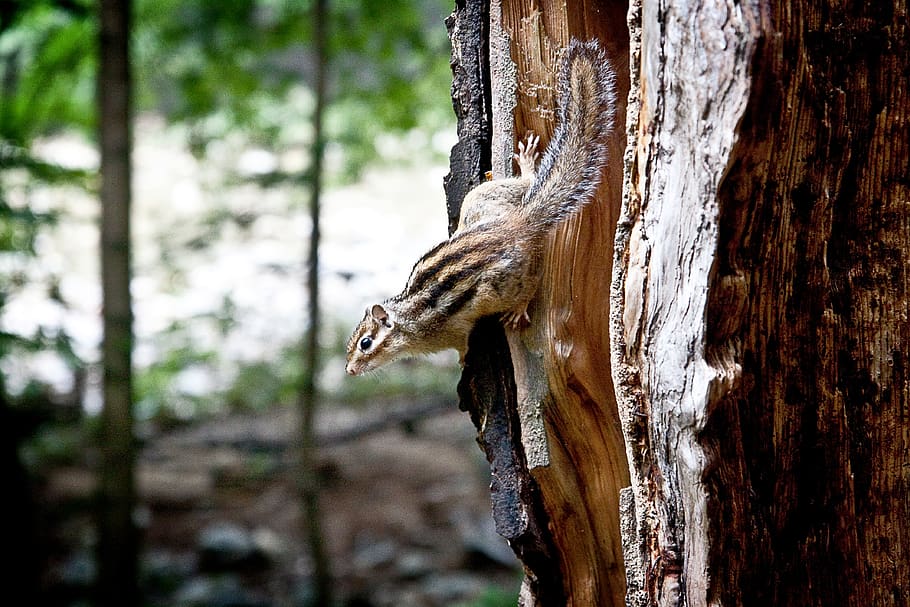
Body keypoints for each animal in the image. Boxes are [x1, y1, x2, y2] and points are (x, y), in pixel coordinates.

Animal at [345, 38, 617, 376]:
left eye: (366, 343)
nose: (349, 369)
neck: (410, 321)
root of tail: (518, 223)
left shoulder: (451, 330)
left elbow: (462, 342)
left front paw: (462, 360)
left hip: (498, 285)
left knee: (531, 283)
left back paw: (519, 308)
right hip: (480, 199)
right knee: (526, 185)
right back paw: (527, 167)